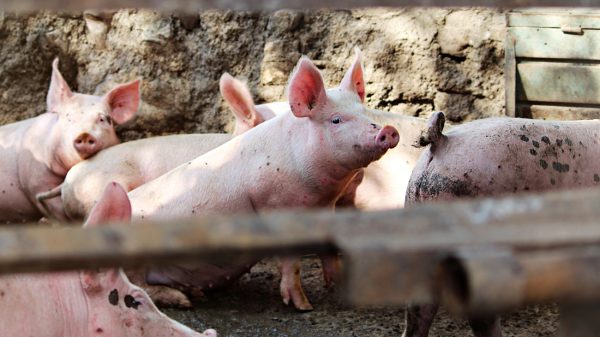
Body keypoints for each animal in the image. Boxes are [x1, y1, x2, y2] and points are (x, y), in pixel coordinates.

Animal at [126, 51, 398, 312]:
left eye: (365, 113)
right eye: (336, 120)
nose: (388, 130)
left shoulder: (325, 209)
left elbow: (329, 249)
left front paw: (339, 288)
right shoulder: (277, 206)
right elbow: (291, 262)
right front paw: (304, 307)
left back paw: (195, 293)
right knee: (138, 286)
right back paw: (183, 300)